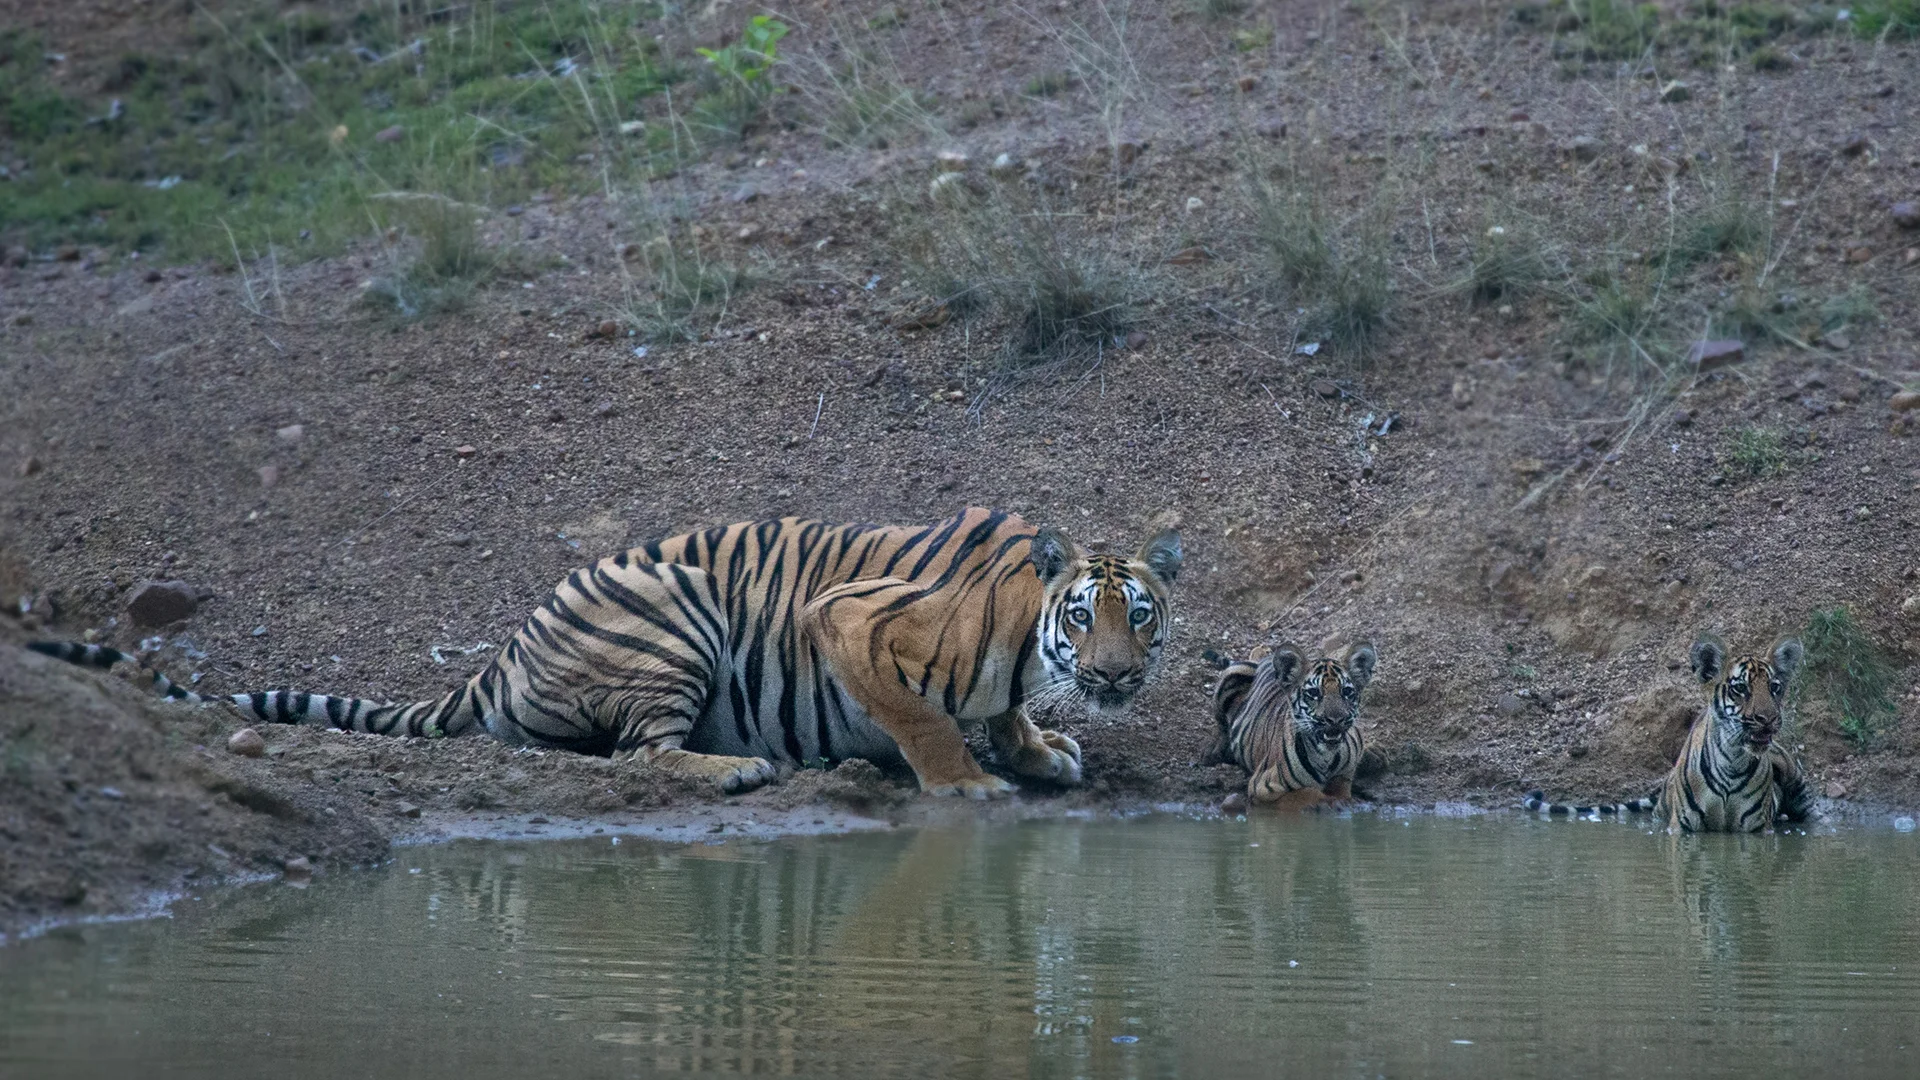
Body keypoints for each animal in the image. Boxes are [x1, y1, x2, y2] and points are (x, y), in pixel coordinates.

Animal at [28, 507, 1183, 800]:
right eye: (1085, 615)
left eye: (1142, 615)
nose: (1117, 675)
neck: (1025, 638)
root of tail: (502, 648)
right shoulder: (849, 620)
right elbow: (922, 714)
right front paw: (968, 783)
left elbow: (1003, 714)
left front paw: (1038, 752)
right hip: (675, 618)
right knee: (640, 755)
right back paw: (739, 766)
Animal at [1202, 641, 1378, 810]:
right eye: (1314, 693)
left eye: (1347, 691)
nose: (1335, 719)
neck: (1327, 756)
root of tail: (1263, 659)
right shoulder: (1262, 786)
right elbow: (1307, 793)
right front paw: (1331, 803)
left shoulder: (1344, 777)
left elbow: (1340, 790)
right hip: (1232, 674)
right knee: (1222, 726)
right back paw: (1215, 753)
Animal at [1524, 634, 1814, 833]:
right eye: (1740, 688)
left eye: (1775, 688)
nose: (1769, 720)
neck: (1733, 759)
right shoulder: (1683, 828)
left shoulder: (1757, 830)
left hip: (1796, 778)